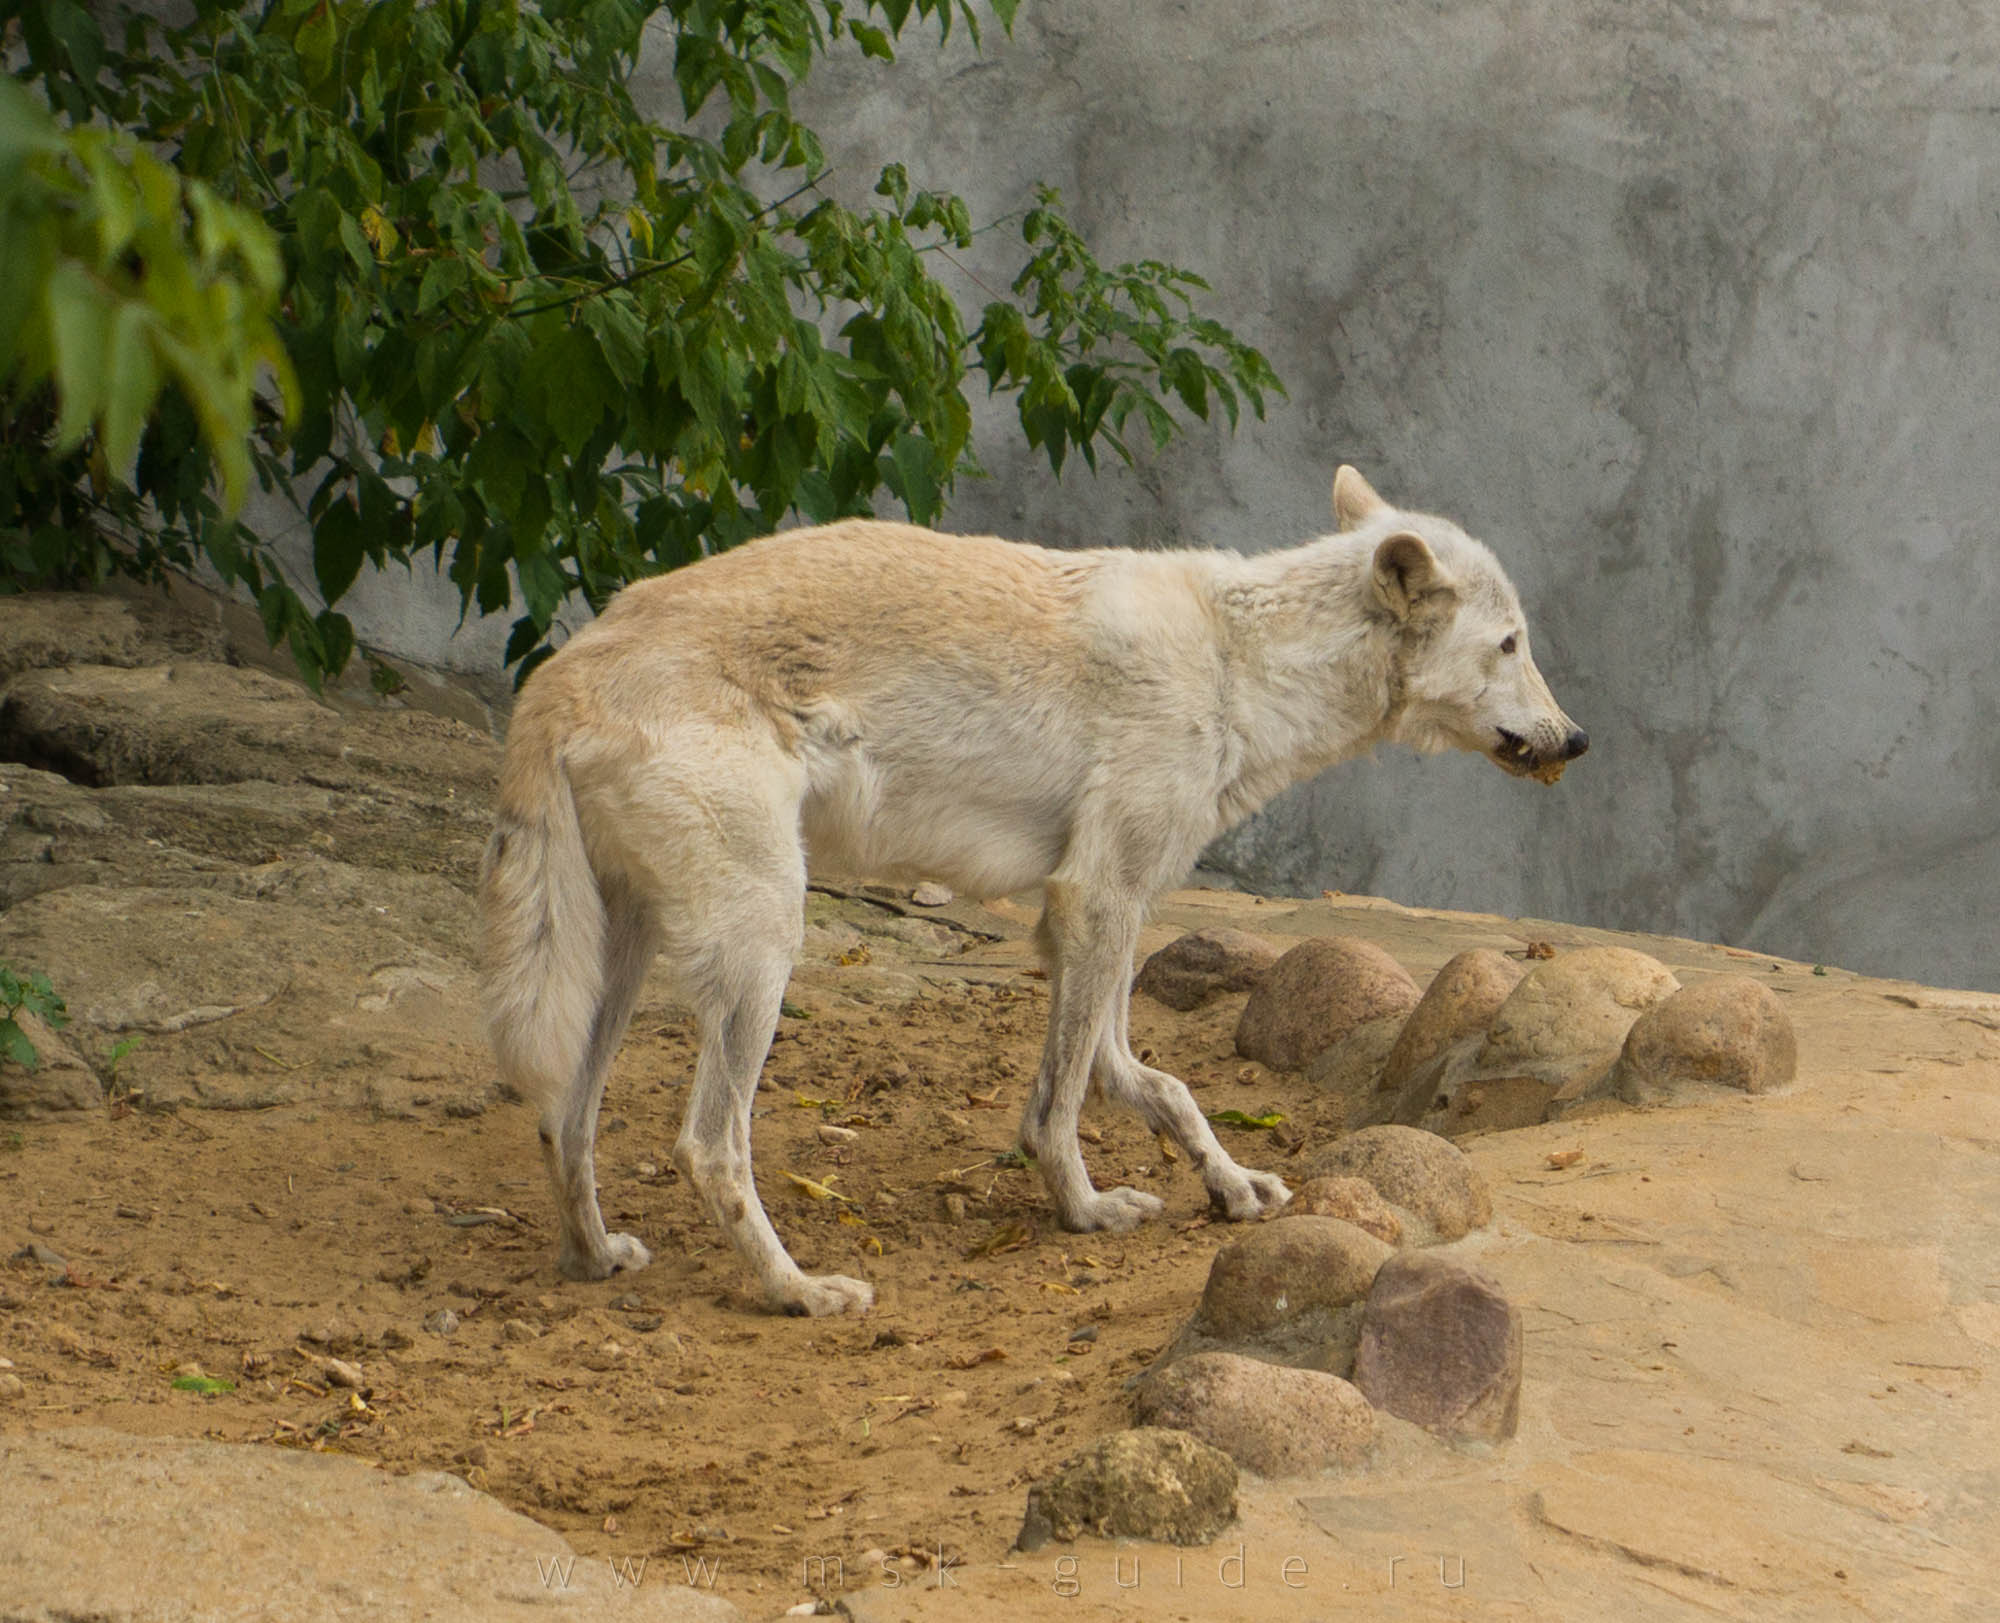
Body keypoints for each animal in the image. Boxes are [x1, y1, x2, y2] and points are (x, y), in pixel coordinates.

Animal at [480, 466, 1587, 1315]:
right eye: (1511, 644)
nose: (1576, 740)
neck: (1240, 667)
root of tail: (560, 671)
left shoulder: (1093, 914)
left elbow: (1143, 1079)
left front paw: (1229, 1184)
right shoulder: (1100, 899)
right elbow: (1059, 1108)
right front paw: (1085, 1213)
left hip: (623, 968)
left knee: (563, 1120)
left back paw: (594, 1258)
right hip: (762, 950)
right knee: (708, 1147)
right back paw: (799, 1291)